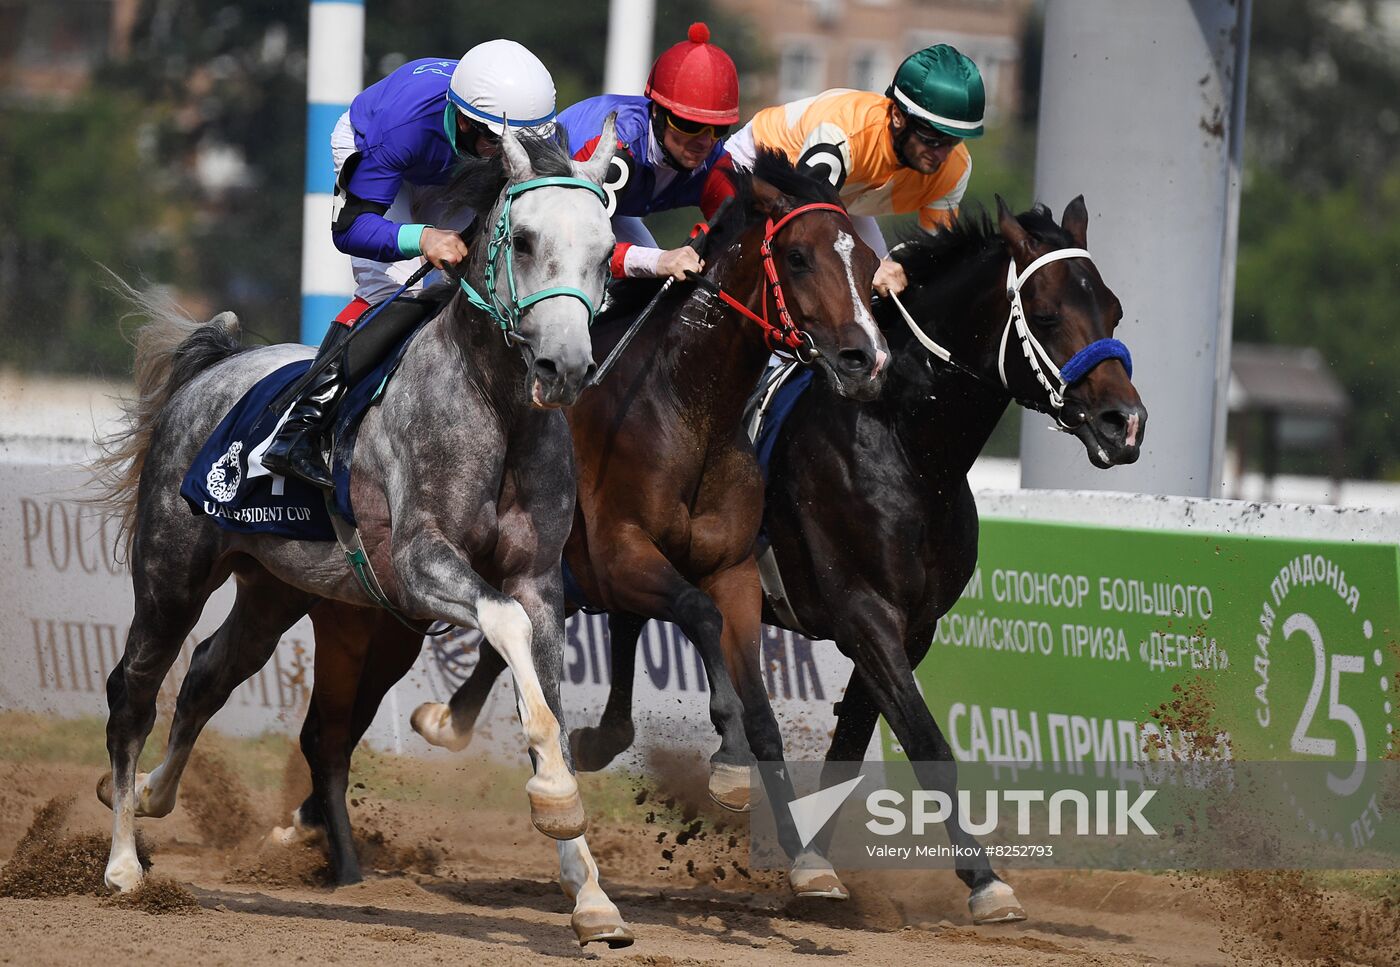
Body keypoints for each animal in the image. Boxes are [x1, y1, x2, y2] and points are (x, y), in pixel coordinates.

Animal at [90, 121, 632, 946]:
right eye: (526, 238)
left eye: (606, 249)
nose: (564, 366)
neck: (495, 406)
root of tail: (208, 370)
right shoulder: (418, 562)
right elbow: (502, 625)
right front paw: (553, 795)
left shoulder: (540, 582)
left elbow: (549, 700)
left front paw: (590, 891)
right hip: (170, 571)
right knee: (135, 689)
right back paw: (123, 861)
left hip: (274, 587)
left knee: (212, 670)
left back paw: (153, 795)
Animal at [287, 149, 884, 901]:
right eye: (800, 257)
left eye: (868, 259)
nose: (865, 358)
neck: (689, 410)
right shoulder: (622, 556)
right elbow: (695, 616)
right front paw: (725, 756)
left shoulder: (733, 569)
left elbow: (759, 705)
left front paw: (805, 858)